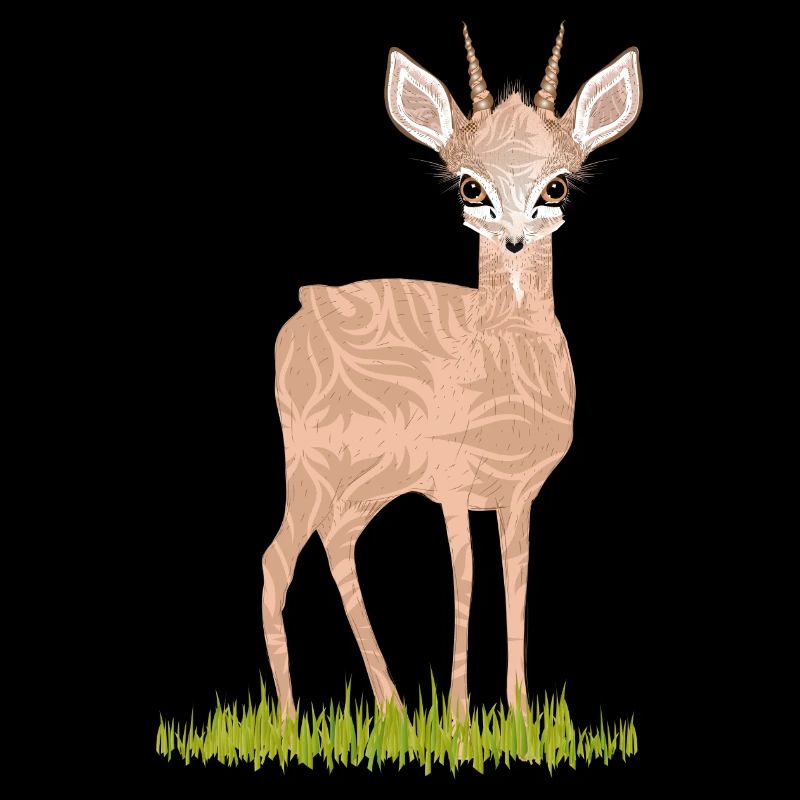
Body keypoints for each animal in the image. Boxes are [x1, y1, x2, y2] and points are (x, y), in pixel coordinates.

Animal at [262, 23, 642, 719]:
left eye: (557, 185)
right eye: (471, 185)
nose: (515, 238)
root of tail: (304, 304)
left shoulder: (519, 493)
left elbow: (516, 582)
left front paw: (517, 714)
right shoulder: (454, 485)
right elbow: (464, 579)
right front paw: (463, 718)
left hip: (369, 482)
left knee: (337, 542)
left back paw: (392, 708)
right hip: (311, 466)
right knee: (278, 560)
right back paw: (288, 721)